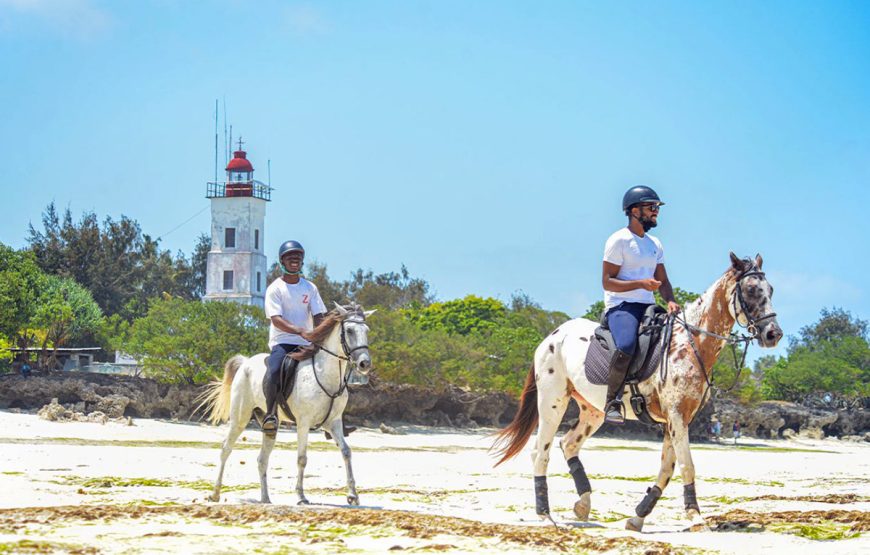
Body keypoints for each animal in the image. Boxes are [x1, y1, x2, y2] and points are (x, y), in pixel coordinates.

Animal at [199, 302, 374, 506]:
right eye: (350, 330)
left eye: (366, 330)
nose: (364, 364)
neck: (325, 375)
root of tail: (245, 362)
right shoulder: (303, 423)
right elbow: (302, 458)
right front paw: (301, 496)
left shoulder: (333, 422)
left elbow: (346, 451)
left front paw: (353, 495)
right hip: (239, 419)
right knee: (226, 448)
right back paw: (215, 493)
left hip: (268, 425)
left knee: (262, 459)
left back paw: (265, 498)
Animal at [493, 253, 782, 531]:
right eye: (751, 290)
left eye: (770, 289)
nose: (773, 334)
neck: (690, 344)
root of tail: (552, 336)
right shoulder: (677, 417)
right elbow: (687, 466)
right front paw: (695, 517)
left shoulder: (677, 420)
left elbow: (667, 469)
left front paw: (638, 517)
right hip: (552, 402)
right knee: (540, 451)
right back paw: (545, 516)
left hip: (593, 410)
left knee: (569, 443)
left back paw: (583, 504)